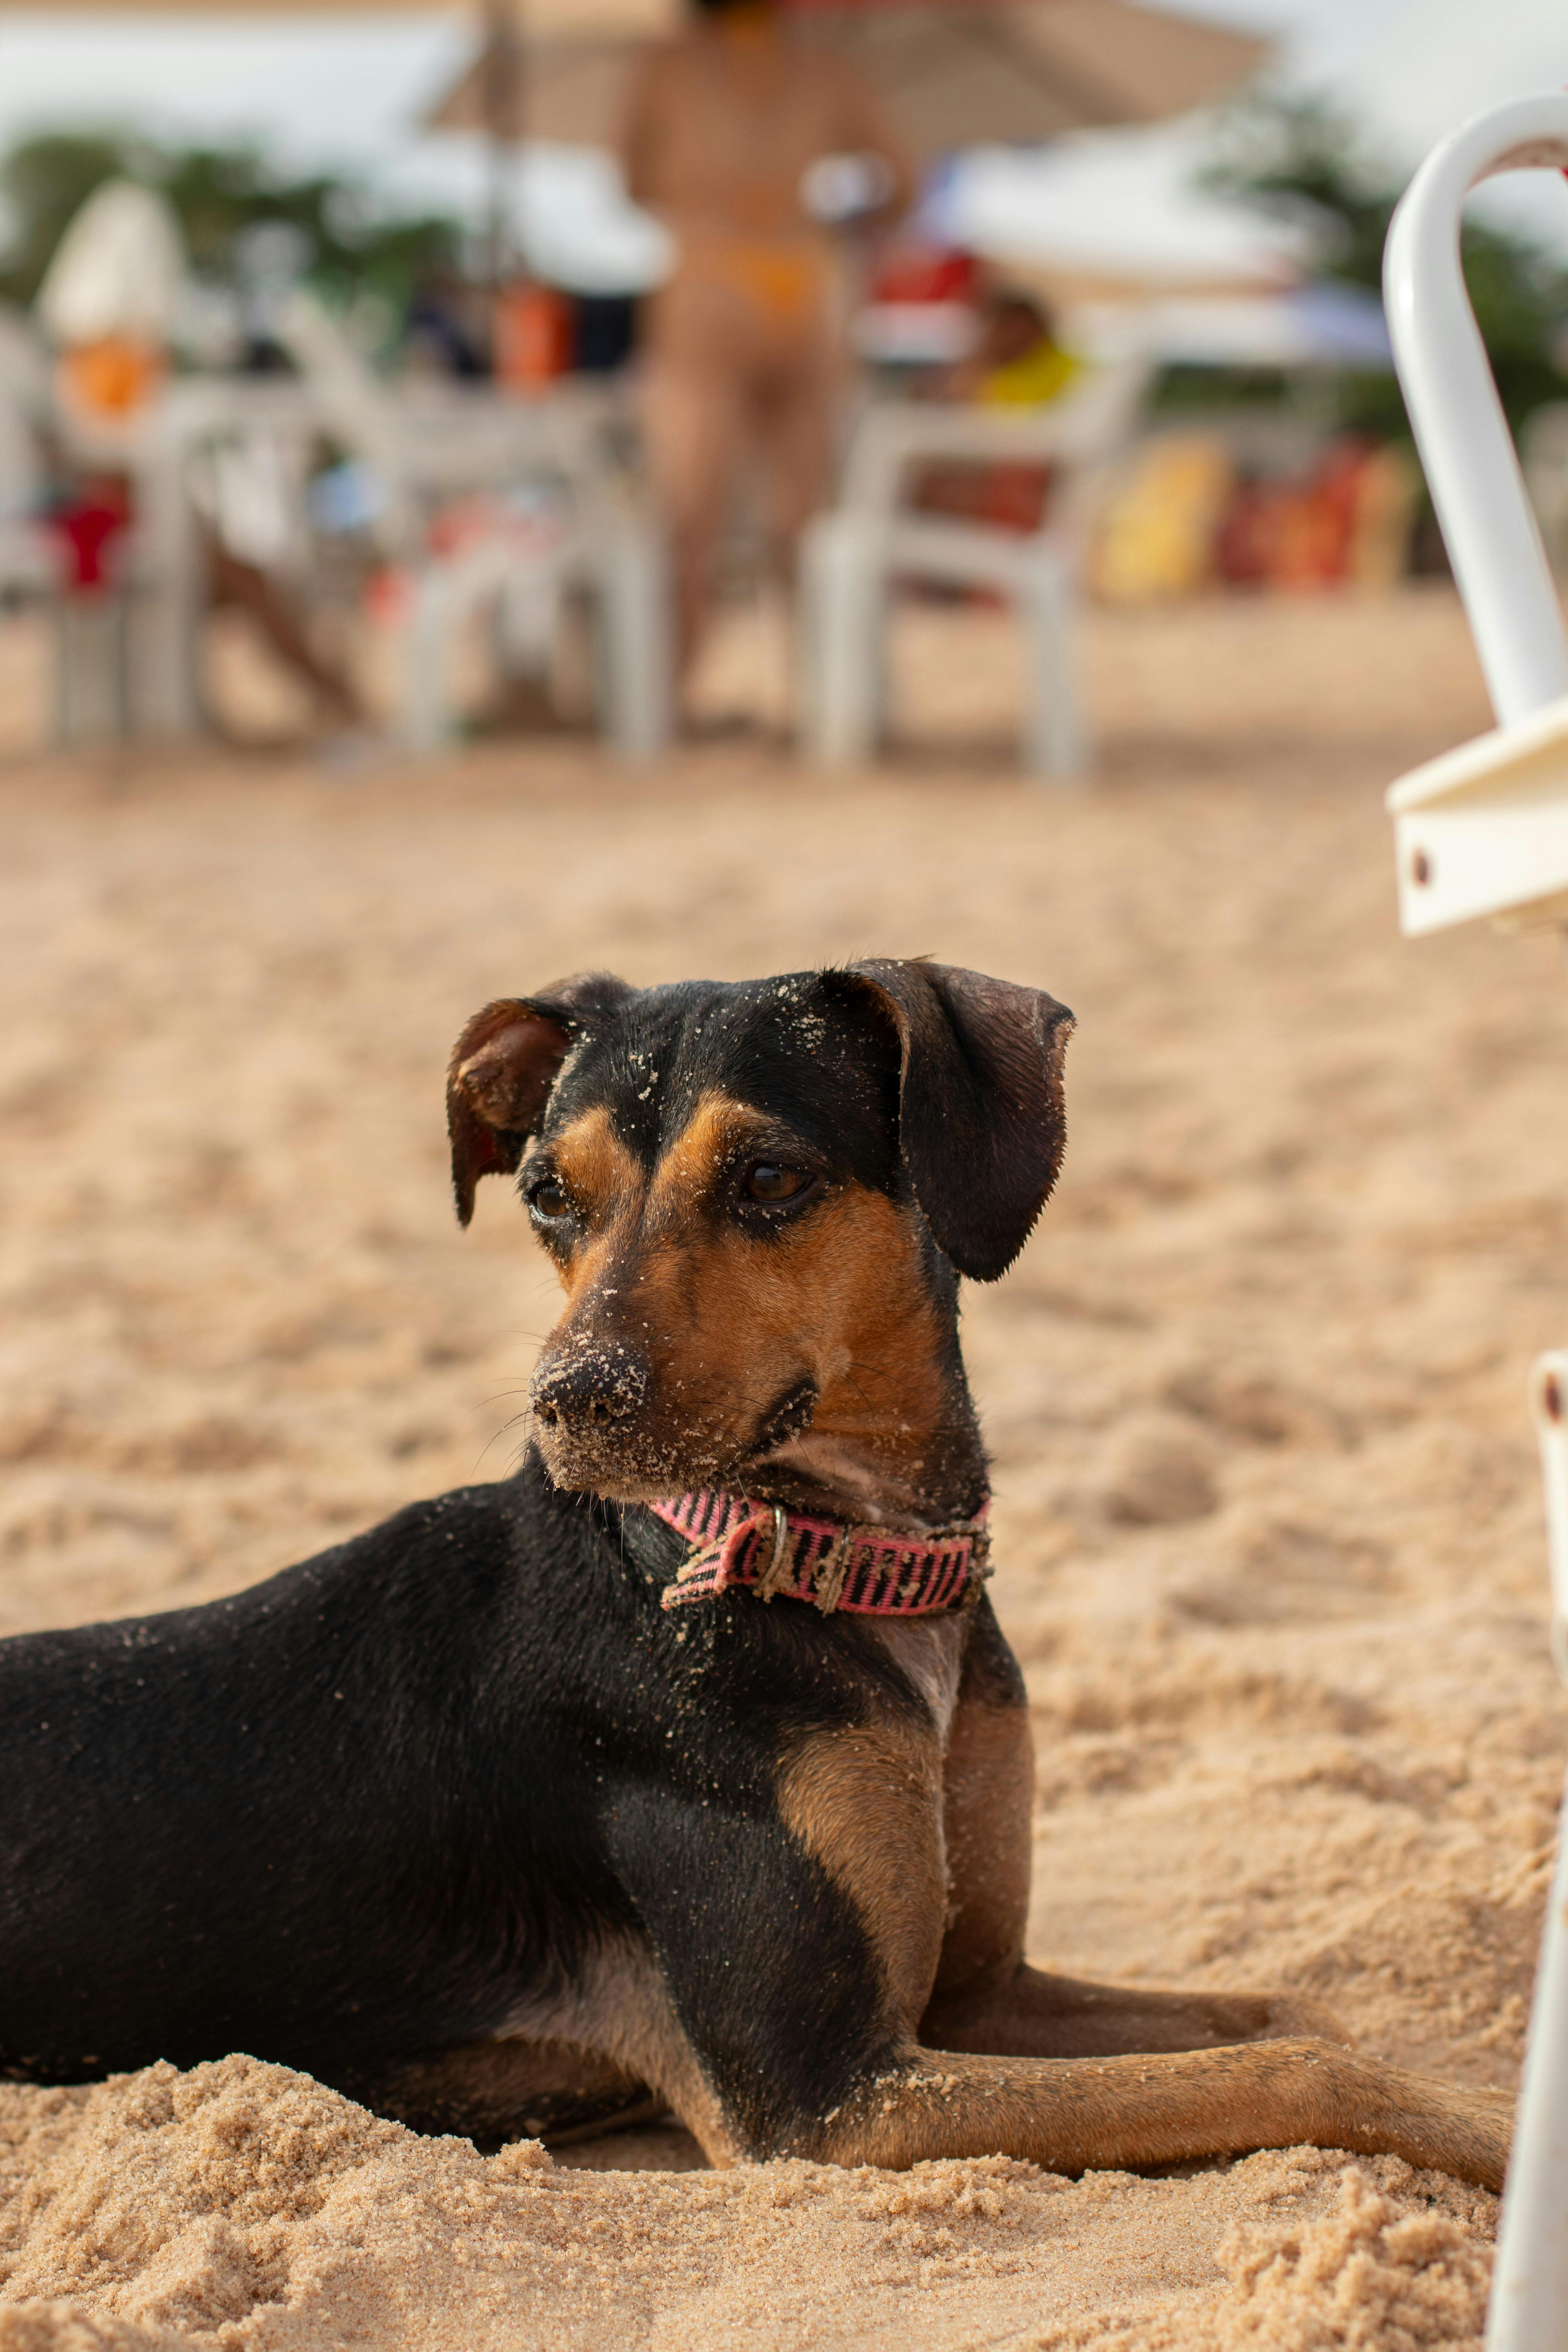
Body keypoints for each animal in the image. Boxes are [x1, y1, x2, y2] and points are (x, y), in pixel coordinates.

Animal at [3, 955, 1523, 2183]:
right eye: (547, 1195)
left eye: (771, 1180)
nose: (570, 1400)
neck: (839, 1563)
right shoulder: (825, 2099)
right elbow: (1288, 2065)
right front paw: (1495, 2129)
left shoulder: (977, 1995)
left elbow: (1291, 2012)